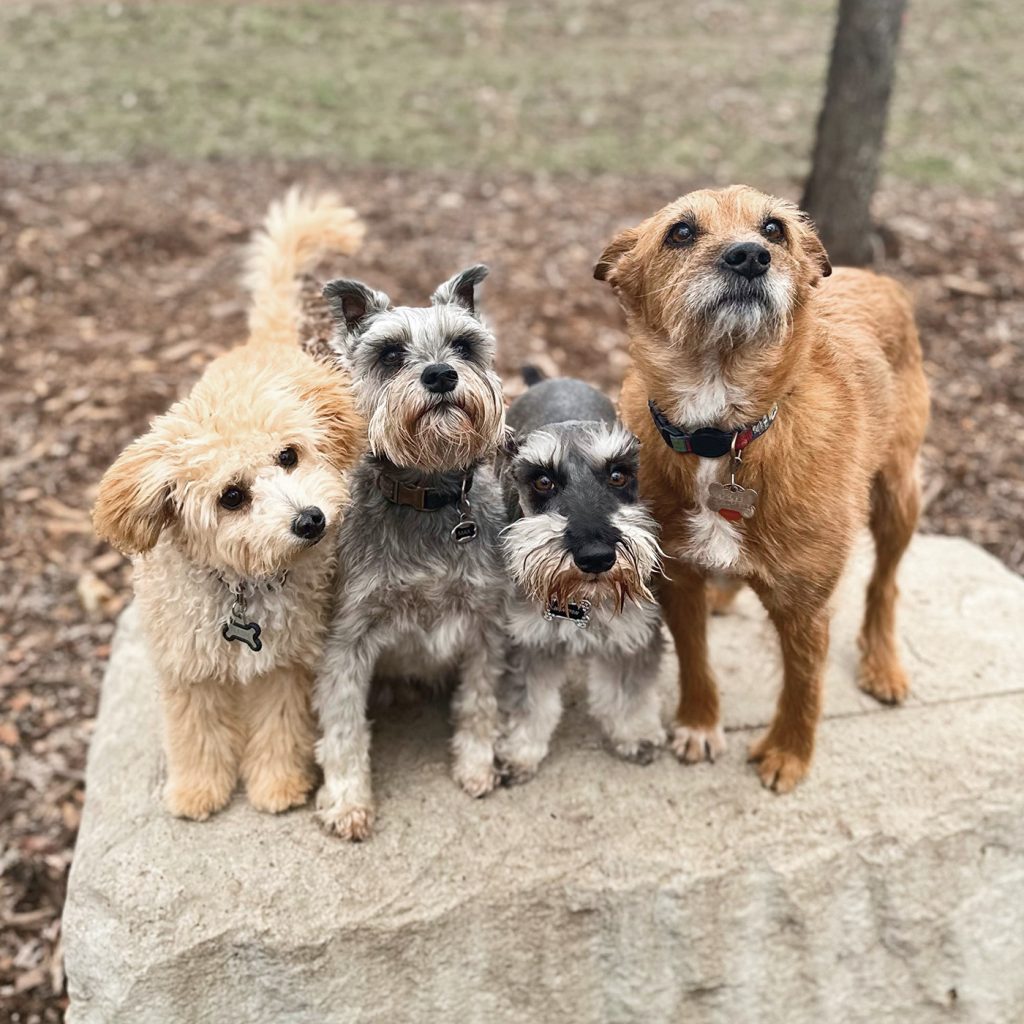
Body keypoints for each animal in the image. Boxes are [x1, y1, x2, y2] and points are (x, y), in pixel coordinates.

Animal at [93, 190, 364, 815]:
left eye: (289, 455)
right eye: (232, 497)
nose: (311, 521)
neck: (239, 589)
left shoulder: (285, 662)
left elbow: (280, 725)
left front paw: (276, 786)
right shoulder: (186, 666)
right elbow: (195, 732)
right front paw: (198, 791)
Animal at [315, 264, 512, 839]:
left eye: (464, 345)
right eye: (389, 353)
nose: (441, 375)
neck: (427, 497)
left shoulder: (486, 625)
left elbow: (479, 702)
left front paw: (476, 765)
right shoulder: (347, 638)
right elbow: (343, 726)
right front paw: (348, 801)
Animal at [497, 372, 671, 778]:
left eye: (618, 475)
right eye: (543, 481)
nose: (596, 557)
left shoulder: (633, 632)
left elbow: (630, 691)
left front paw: (636, 733)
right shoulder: (528, 639)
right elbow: (531, 702)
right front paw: (521, 750)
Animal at [598, 184, 933, 790]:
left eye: (774, 229)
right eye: (681, 232)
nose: (751, 256)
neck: (723, 433)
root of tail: (878, 277)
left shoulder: (805, 604)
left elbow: (803, 684)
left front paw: (788, 755)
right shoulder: (678, 580)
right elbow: (695, 660)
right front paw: (699, 723)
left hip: (899, 495)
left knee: (885, 584)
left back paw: (881, 662)